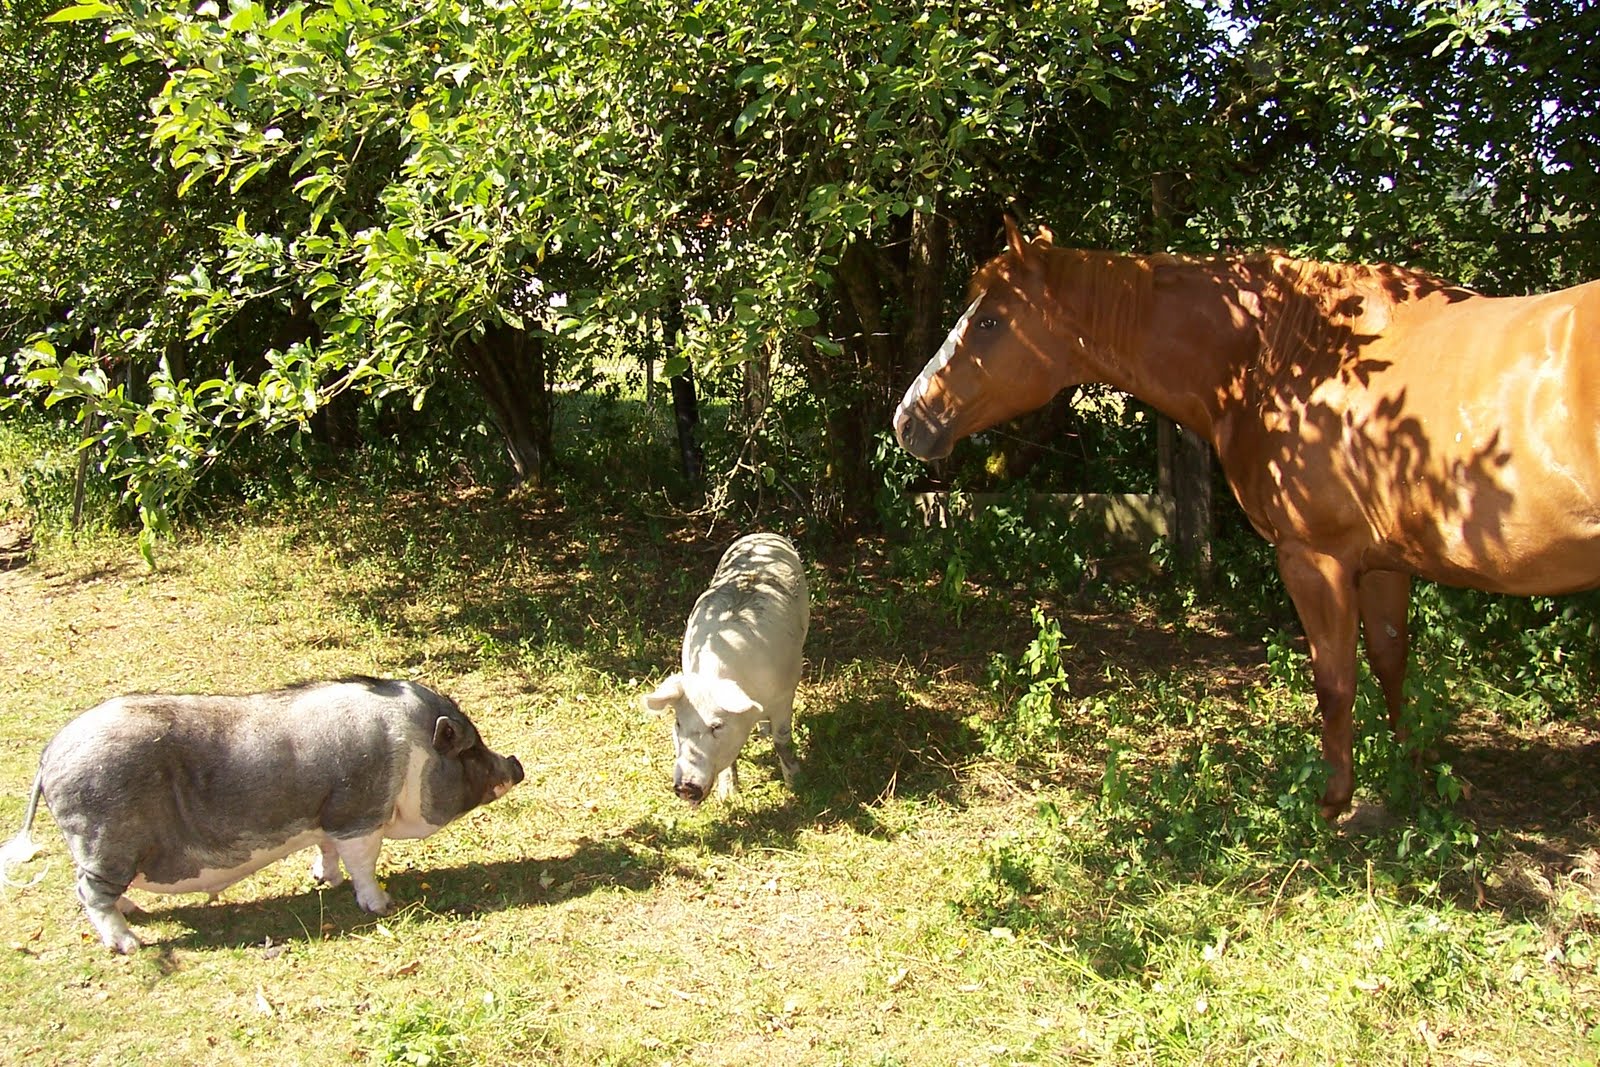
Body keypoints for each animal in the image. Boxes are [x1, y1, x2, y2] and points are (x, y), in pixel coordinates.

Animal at [0, 677, 523, 953]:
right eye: (469, 750)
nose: (516, 764)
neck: (411, 751)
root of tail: (49, 756)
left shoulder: (326, 813)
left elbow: (327, 850)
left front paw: (323, 881)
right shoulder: (359, 812)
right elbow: (363, 863)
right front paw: (382, 905)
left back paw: (133, 912)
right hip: (104, 841)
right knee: (88, 892)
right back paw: (130, 943)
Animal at [643, 532, 809, 803]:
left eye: (717, 726)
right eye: (678, 723)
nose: (685, 787)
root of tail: (762, 534)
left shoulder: (786, 691)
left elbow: (782, 740)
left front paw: (796, 784)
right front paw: (728, 796)